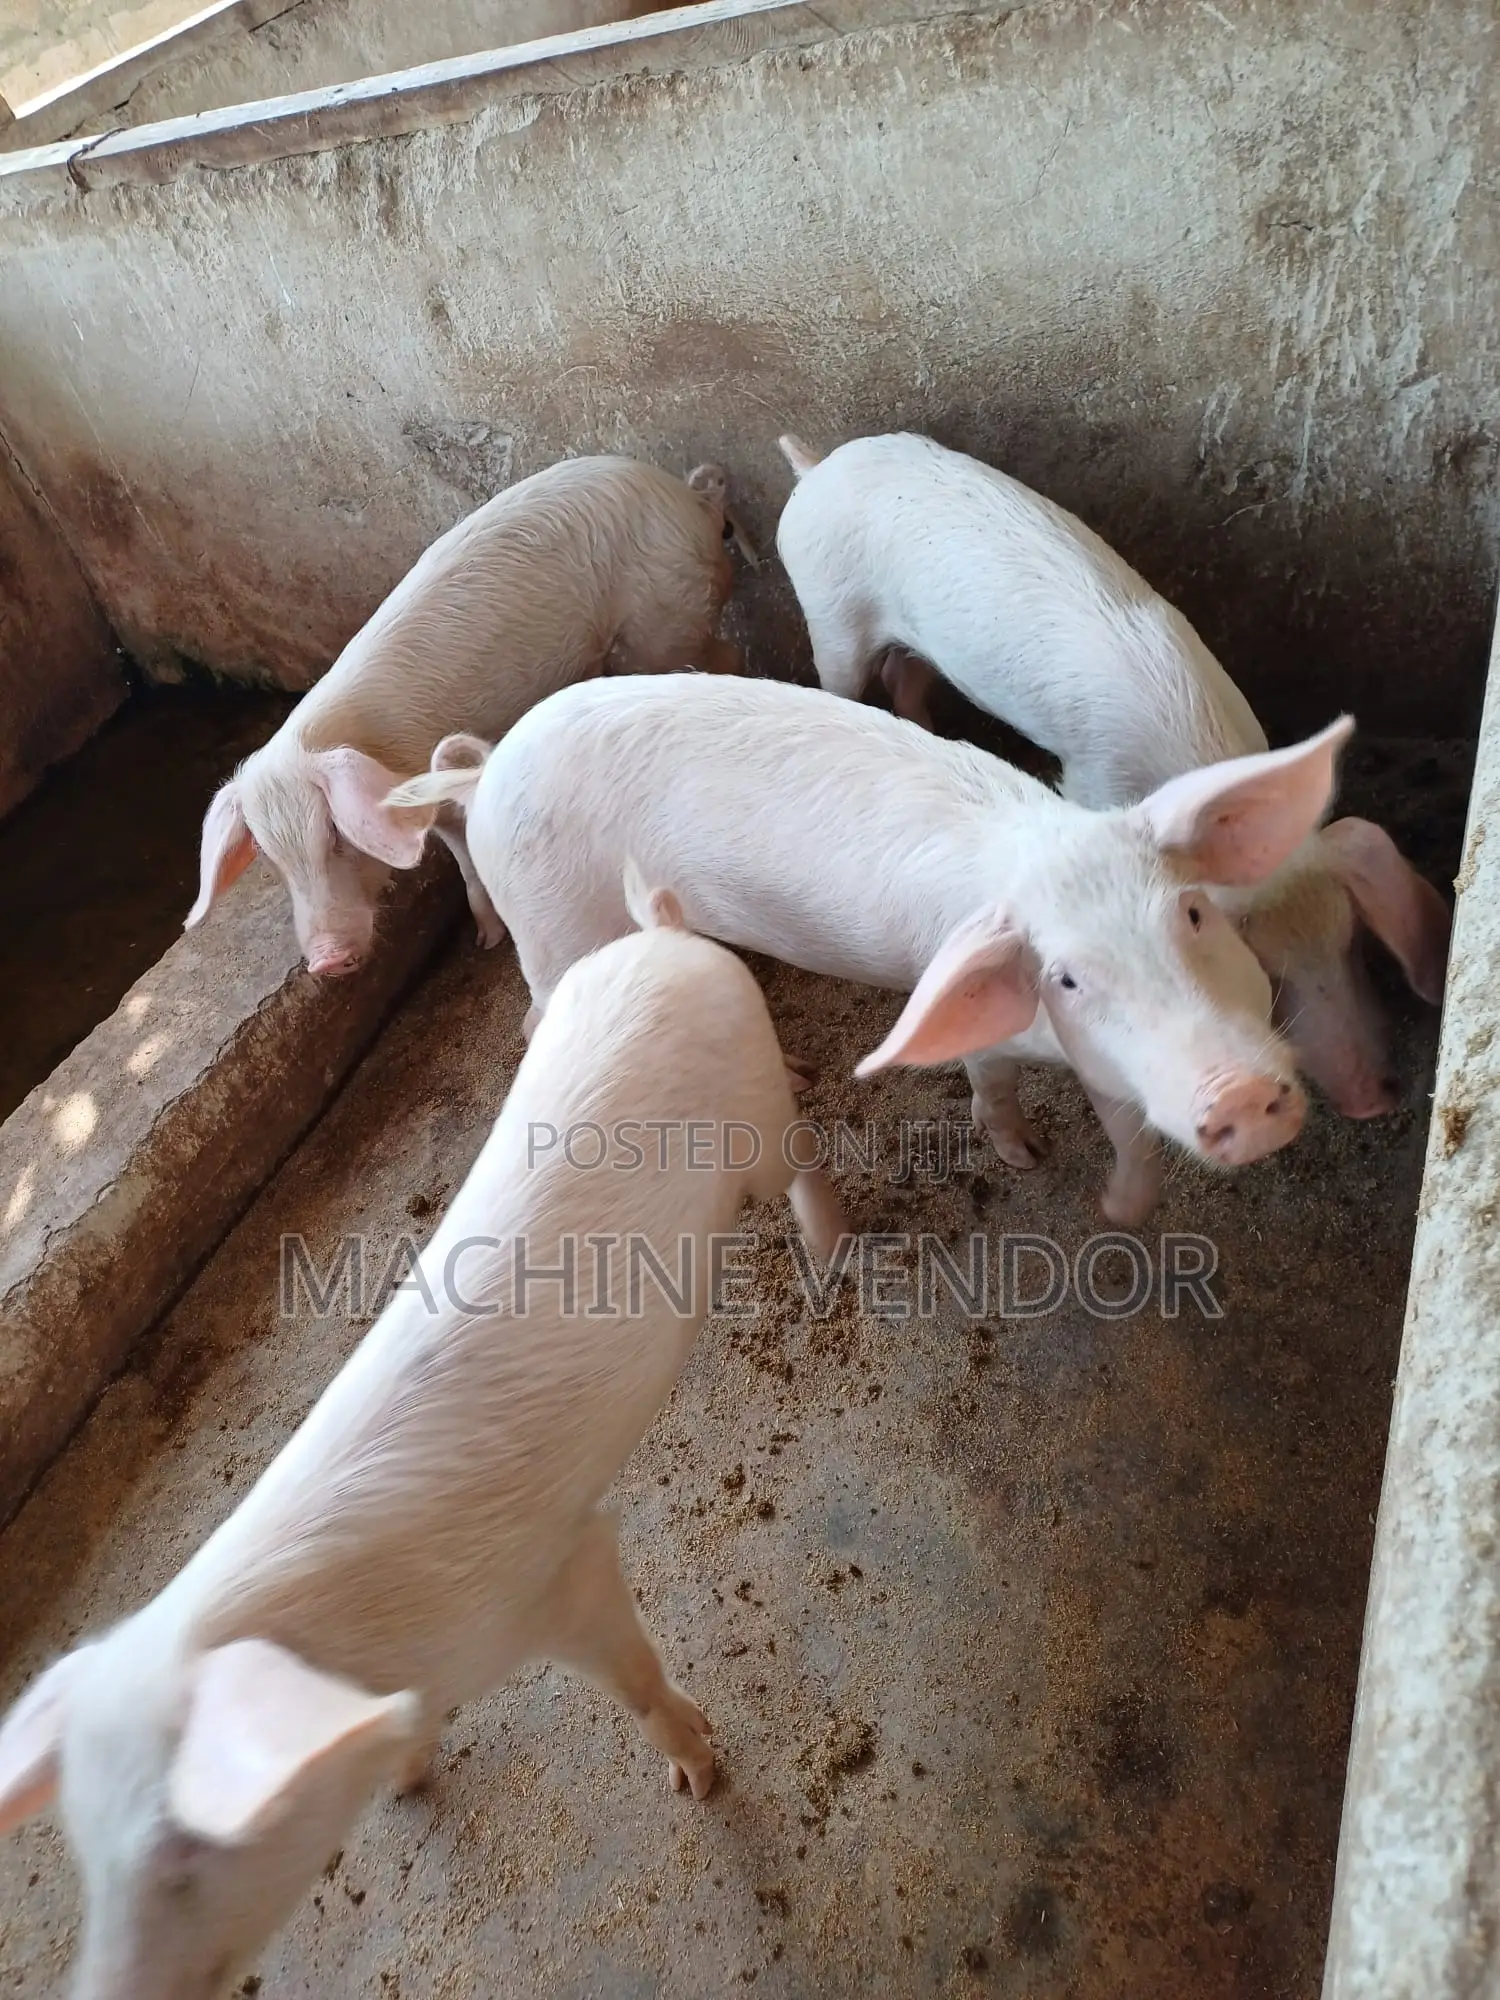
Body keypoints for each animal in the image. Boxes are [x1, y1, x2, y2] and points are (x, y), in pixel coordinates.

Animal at [0, 872, 848, 2000]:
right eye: (85, 1856)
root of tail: (662, 941)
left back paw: (833, 1251)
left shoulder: (559, 1570)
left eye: (186, 1852)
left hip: (753, 1105)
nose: (99, 1990)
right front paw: (406, 1780)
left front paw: (701, 1777)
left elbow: (629, 1672)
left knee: (799, 1155)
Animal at [186, 454, 745, 977]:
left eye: (335, 834)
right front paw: (485, 941)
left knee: (721, 656)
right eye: (269, 855)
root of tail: (691, 499)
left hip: (663, 624)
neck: (380, 752)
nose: (326, 961)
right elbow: (458, 852)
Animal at [380, 674, 1353, 1225]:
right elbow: (993, 1088)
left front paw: (1118, 1213)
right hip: (551, 923)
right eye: (1069, 976)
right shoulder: (1002, 1033)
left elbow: (1132, 1133)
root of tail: (486, 773)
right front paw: (1027, 1158)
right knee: (544, 1007)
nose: (1239, 1094)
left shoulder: (1117, 1065)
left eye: (1191, 914)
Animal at [775, 430, 1451, 1118]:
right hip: (827, 614)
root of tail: (819, 464)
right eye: (1265, 970)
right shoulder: (1089, 786)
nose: (1373, 1099)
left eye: (1353, 942)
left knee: (904, 672)